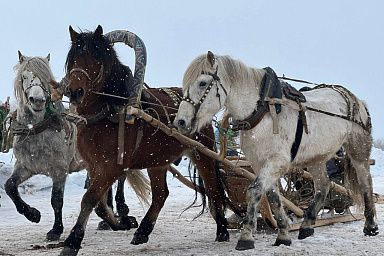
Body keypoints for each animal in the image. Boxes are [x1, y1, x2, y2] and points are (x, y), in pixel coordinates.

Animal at [57, 25, 228, 255]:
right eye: (73, 59)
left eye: (95, 59)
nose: (75, 92)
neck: (110, 111)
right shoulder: (93, 165)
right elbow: (99, 204)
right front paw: (120, 222)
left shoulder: (110, 167)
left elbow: (90, 198)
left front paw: (72, 241)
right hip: (157, 160)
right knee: (161, 194)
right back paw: (144, 230)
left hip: (203, 153)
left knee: (213, 189)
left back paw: (222, 229)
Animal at [175, 51, 378, 250]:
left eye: (202, 83)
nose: (180, 122)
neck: (262, 110)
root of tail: (356, 99)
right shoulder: (259, 163)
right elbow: (273, 197)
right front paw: (283, 235)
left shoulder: (277, 161)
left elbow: (255, 190)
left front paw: (246, 237)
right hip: (317, 157)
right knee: (323, 186)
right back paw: (306, 225)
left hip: (358, 148)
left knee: (365, 181)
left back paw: (370, 226)